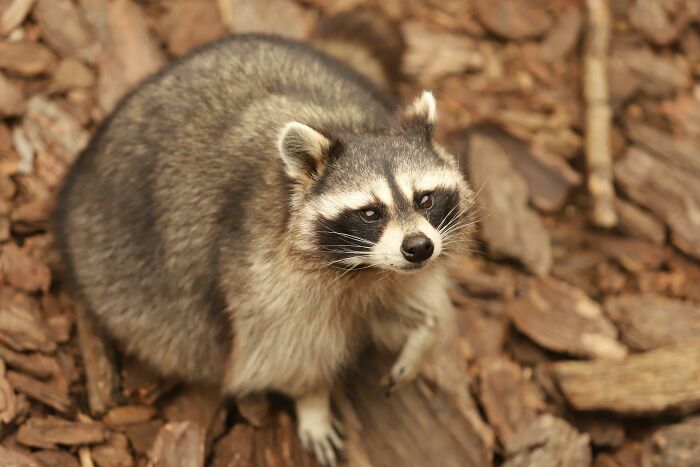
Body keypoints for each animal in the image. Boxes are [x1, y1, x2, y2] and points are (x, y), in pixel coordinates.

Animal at [54, 20, 474, 467]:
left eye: (425, 199)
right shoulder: (262, 273)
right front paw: (313, 400)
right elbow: (285, 352)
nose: (418, 248)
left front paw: (423, 335)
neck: (364, 268)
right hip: (115, 255)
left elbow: (403, 304)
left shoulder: (394, 272)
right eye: (370, 213)